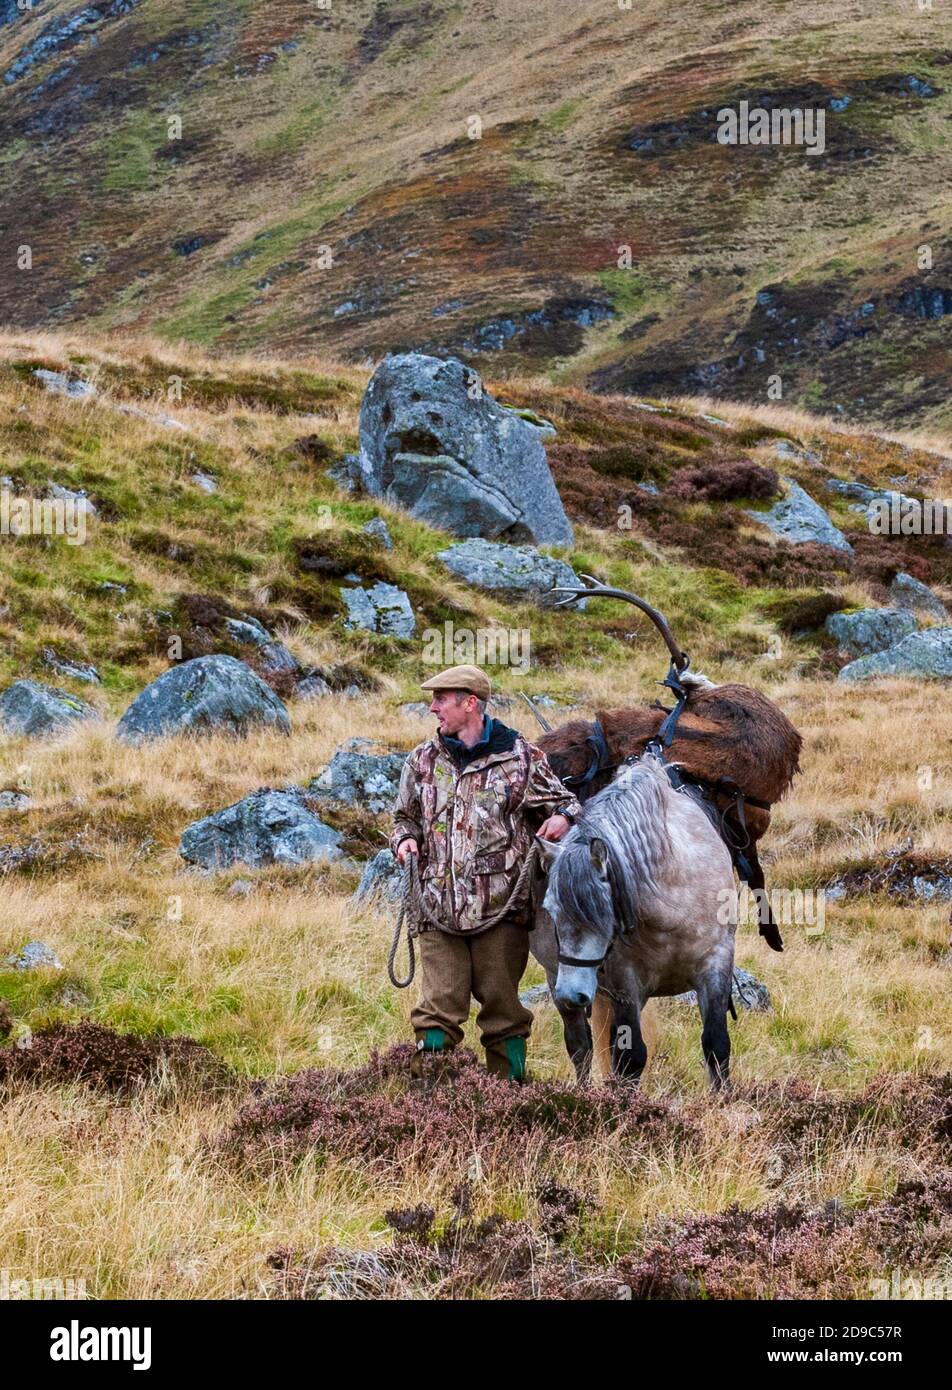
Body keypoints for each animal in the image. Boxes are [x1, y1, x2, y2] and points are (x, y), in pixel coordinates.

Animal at [531, 748, 738, 1090]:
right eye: (549, 910)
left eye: (602, 913)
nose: (572, 994)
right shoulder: (625, 983)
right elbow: (631, 1058)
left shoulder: (716, 963)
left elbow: (716, 1043)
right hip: (557, 978)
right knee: (581, 1048)